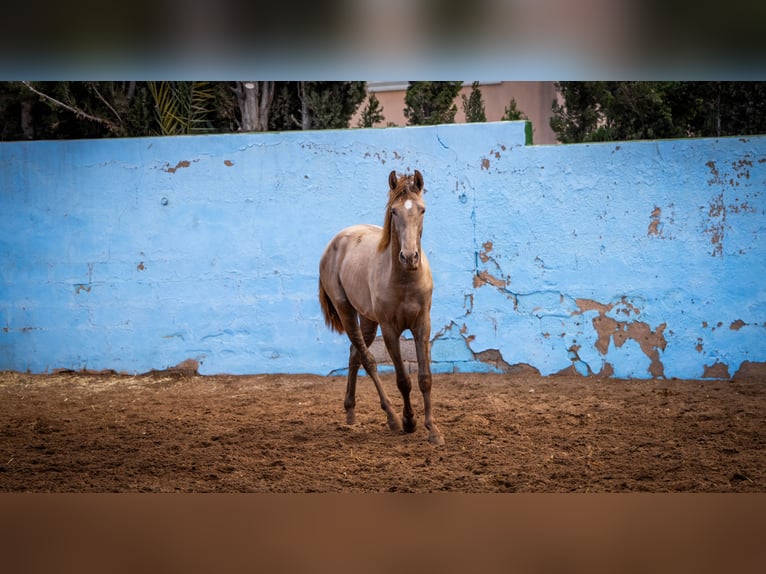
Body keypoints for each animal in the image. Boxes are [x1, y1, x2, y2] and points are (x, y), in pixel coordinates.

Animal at [320, 169, 448, 448]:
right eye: (394, 211)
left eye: (422, 210)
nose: (409, 257)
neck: (405, 279)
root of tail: (335, 242)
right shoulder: (390, 330)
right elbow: (403, 380)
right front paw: (409, 422)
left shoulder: (422, 325)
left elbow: (424, 378)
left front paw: (433, 429)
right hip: (347, 312)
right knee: (368, 360)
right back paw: (392, 417)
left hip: (368, 320)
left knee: (355, 355)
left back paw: (351, 412)